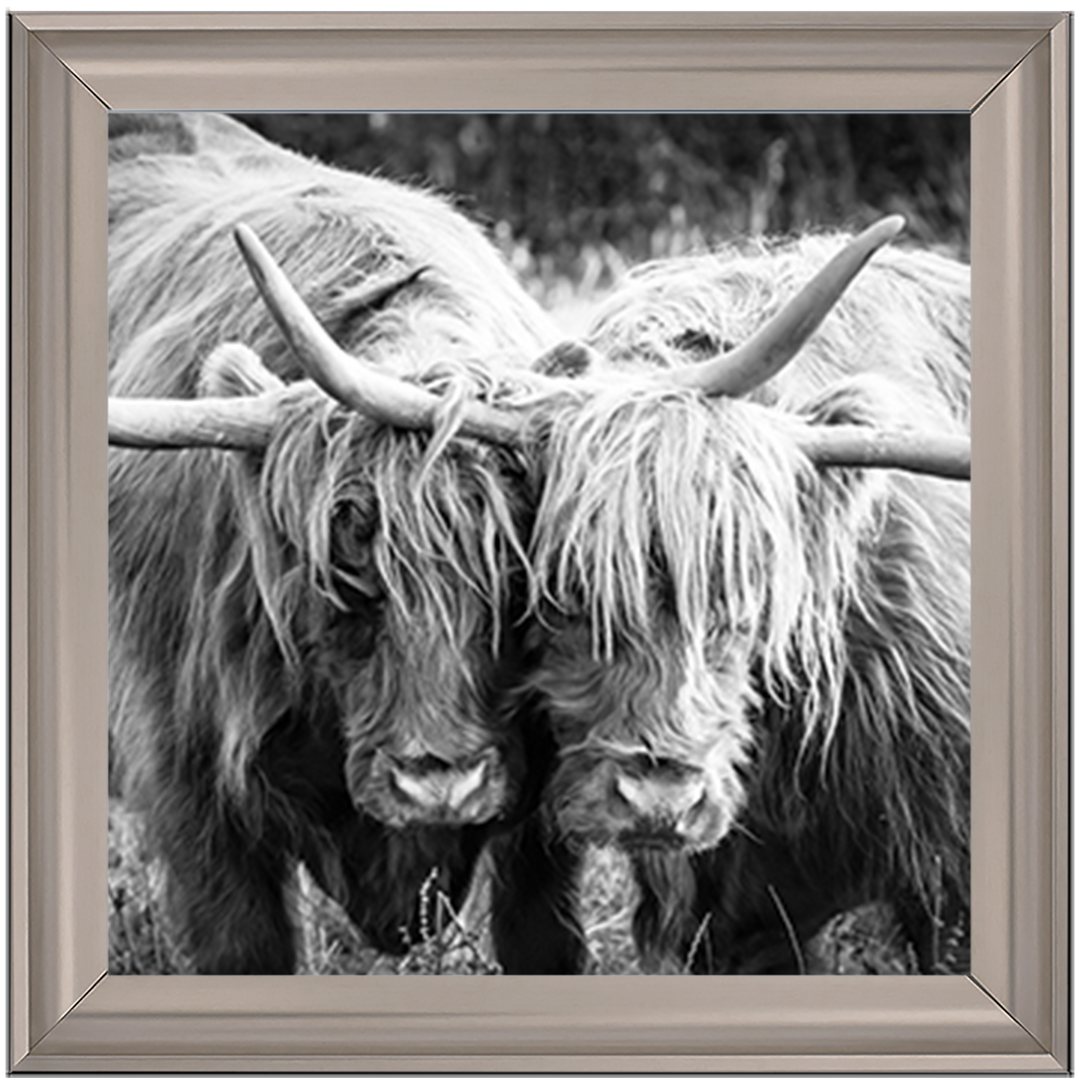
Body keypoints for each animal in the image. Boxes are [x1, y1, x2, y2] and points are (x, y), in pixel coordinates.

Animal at [106, 112, 585, 974]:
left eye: (516, 578)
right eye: (343, 572)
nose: (440, 785)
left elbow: (543, 936)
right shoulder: (188, 784)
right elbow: (243, 948)